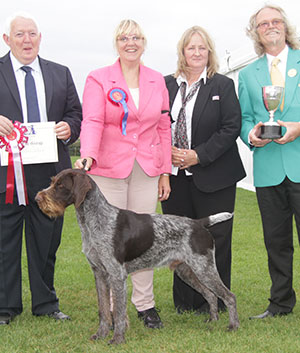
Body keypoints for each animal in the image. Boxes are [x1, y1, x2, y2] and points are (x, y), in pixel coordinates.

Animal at [35, 168, 239, 344]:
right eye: (52, 182)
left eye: (61, 185)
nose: (37, 198)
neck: (93, 221)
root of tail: (199, 223)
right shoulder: (99, 273)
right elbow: (104, 310)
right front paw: (100, 335)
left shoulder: (116, 275)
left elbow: (118, 312)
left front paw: (117, 339)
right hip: (187, 271)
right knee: (211, 295)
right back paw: (212, 320)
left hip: (204, 268)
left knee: (229, 296)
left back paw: (233, 326)